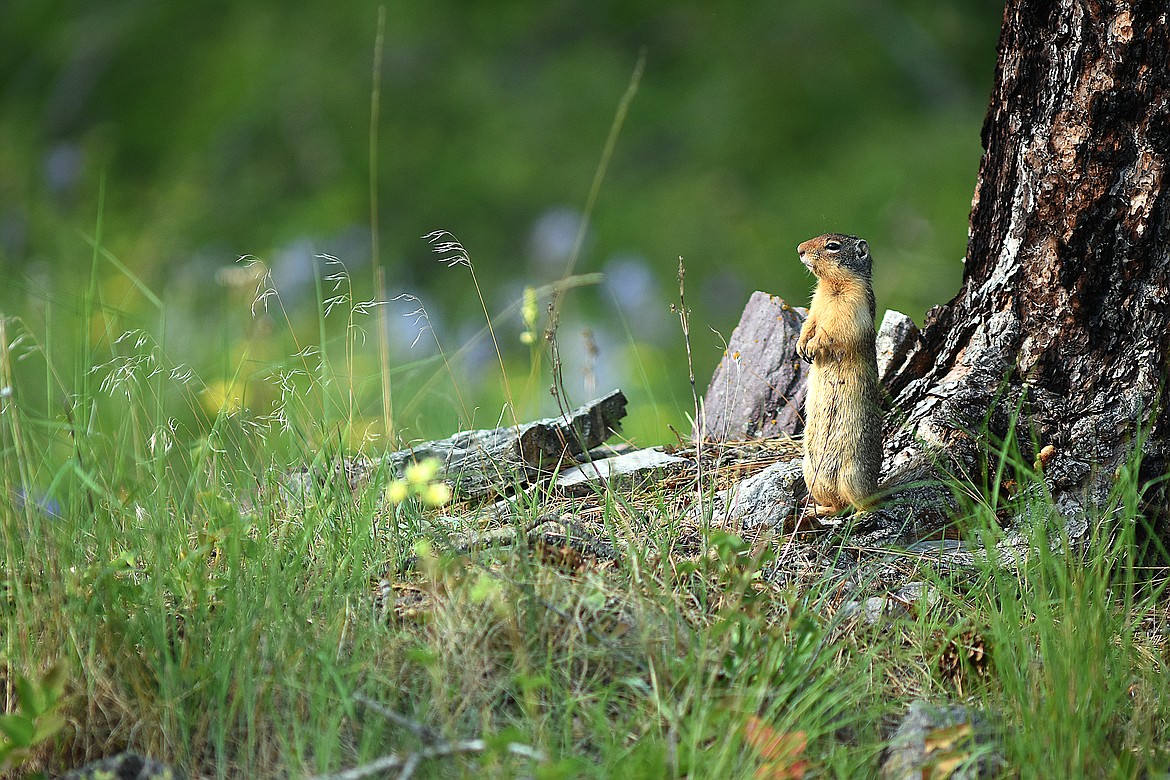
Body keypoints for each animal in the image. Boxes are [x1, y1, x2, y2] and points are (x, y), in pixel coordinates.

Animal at [800, 231, 879, 512]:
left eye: (832, 246)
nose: (799, 249)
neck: (830, 285)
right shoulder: (815, 304)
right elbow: (809, 323)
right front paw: (800, 346)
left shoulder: (853, 303)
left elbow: (834, 330)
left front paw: (813, 346)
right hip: (810, 472)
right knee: (836, 504)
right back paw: (823, 508)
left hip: (853, 473)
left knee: (864, 502)